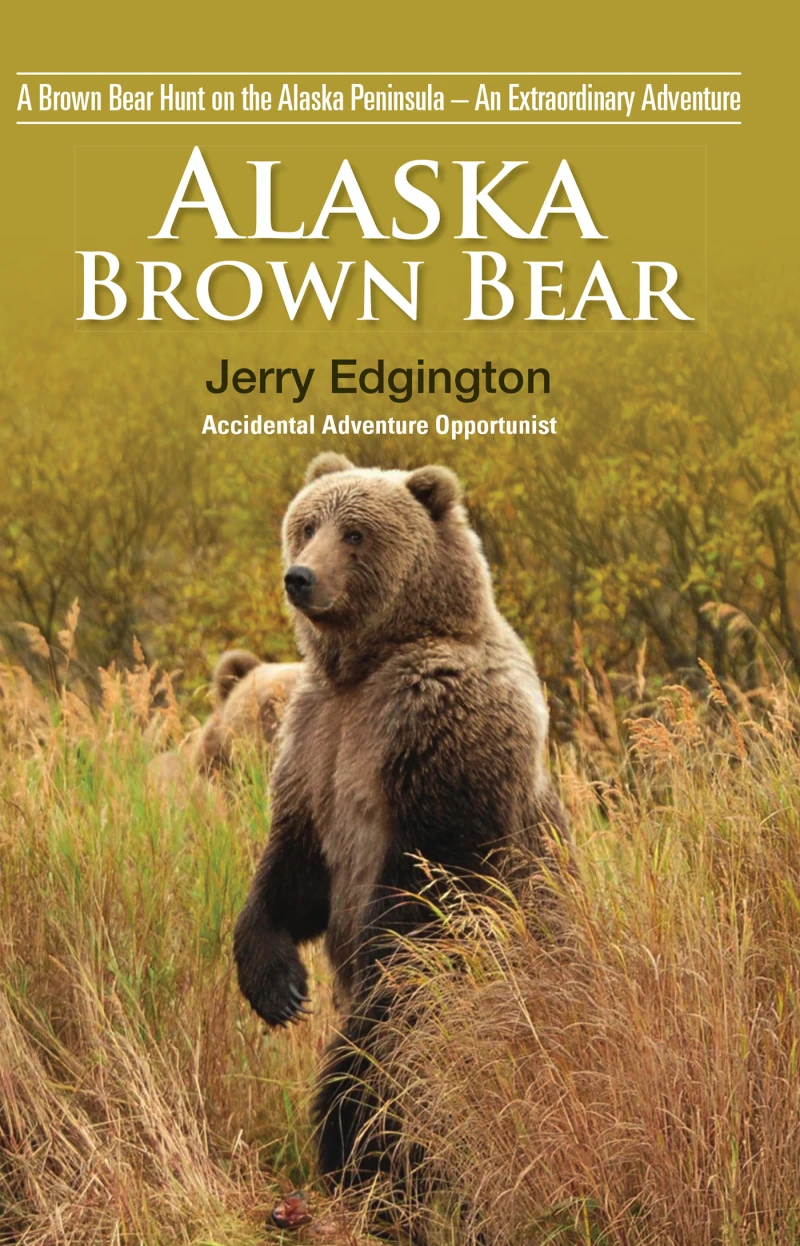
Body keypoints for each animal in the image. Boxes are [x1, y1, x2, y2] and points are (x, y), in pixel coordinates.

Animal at [233, 454, 567, 1227]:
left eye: (355, 533)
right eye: (306, 523)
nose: (301, 577)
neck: (365, 666)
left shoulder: (438, 732)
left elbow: (428, 891)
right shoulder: (317, 741)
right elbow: (292, 870)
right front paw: (276, 985)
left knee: (419, 1077)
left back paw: (386, 1175)